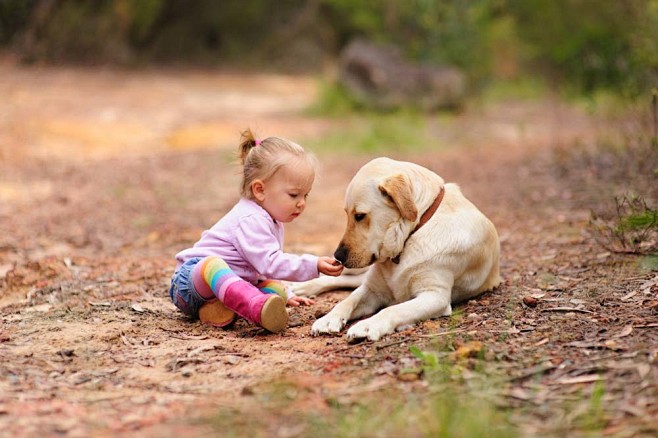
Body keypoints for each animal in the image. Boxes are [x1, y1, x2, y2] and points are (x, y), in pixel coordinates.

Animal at [300, 157, 500, 342]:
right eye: (347, 214)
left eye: (359, 216)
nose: (338, 256)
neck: (414, 230)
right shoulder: (372, 289)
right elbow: (347, 301)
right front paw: (328, 319)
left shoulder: (435, 296)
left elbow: (392, 309)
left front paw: (368, 325)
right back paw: (299, 287)